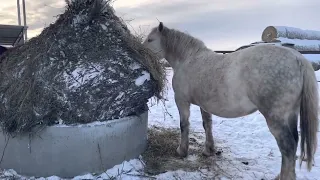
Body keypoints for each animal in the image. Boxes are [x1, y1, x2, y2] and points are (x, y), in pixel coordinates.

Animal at [143, 22, 320, 180]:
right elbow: (207, 124)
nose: (142, 52)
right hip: (290, 114)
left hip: (276, 118)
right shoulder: (204, 104)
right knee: (294, 143)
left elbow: (184, 125)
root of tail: (298, 59)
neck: (187, 59)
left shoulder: (182, 100)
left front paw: (182, 151)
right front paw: (209, 150)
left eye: (150, 39)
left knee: (288, 147)